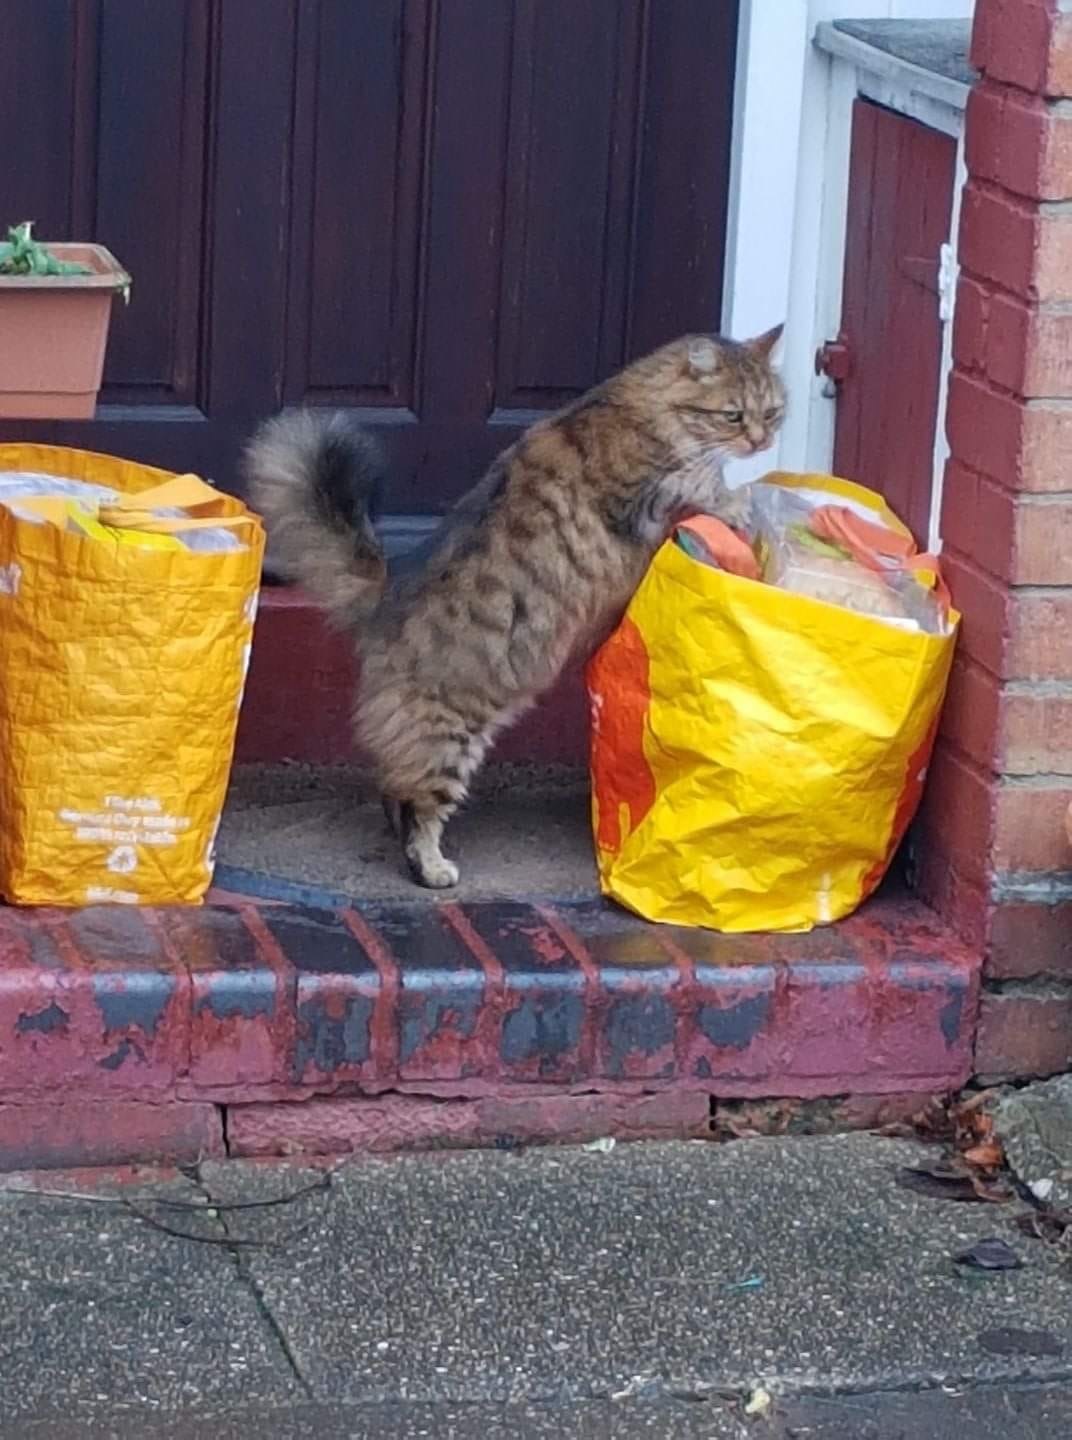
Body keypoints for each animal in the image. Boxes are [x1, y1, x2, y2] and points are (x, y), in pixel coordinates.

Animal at [249, 329, 789, 887]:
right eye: (733, 416)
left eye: (772, 413)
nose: (760, 443)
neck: (640, 406)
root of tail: (389, 588)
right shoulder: (638, 497)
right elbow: (694, 482)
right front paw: (737, 502)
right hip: (449, 733)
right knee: (418, 804)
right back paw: (433, 869)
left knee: (392, 791)